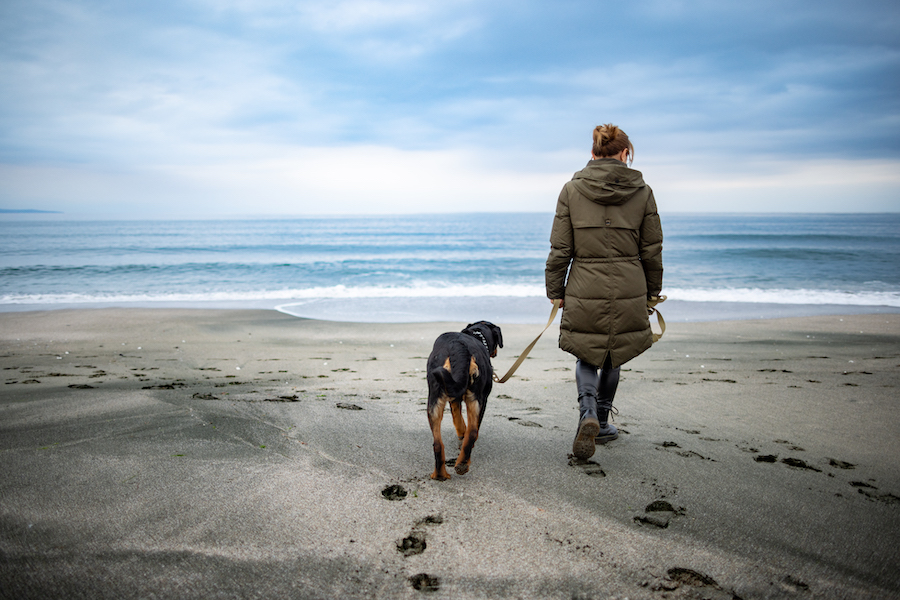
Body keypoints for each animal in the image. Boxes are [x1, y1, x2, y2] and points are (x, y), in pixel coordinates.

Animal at [426, 322, 502, 480]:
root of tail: (458, 346)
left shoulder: (453, 396)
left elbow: (458, 420)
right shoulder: (482, 398)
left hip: (435, 397)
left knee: (438, 443)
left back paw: (440, 474)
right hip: (477, 398)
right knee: (472, 432)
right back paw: (463, 464)